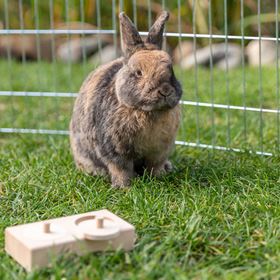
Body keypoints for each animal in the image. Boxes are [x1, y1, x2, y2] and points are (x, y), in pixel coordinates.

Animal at [70, 10, 183, 187]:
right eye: (138, 73)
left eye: (171, 69)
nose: (165, 90)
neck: (148, 112)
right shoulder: (114, 151)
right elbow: (121, 169)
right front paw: (125, 187)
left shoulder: (159, 151)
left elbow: (155, 166)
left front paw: (159, 178)